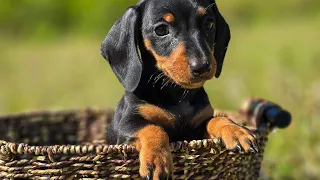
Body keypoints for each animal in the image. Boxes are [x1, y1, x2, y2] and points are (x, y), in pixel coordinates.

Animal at [100, 0, 258, 179]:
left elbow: (217, 119)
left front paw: (236, 130)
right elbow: (154, 128)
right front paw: (157, 160)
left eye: (209, 23)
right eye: (161, 30)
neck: (176, 94)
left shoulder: (196, 130)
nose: (202, 66)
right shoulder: (127, 124)